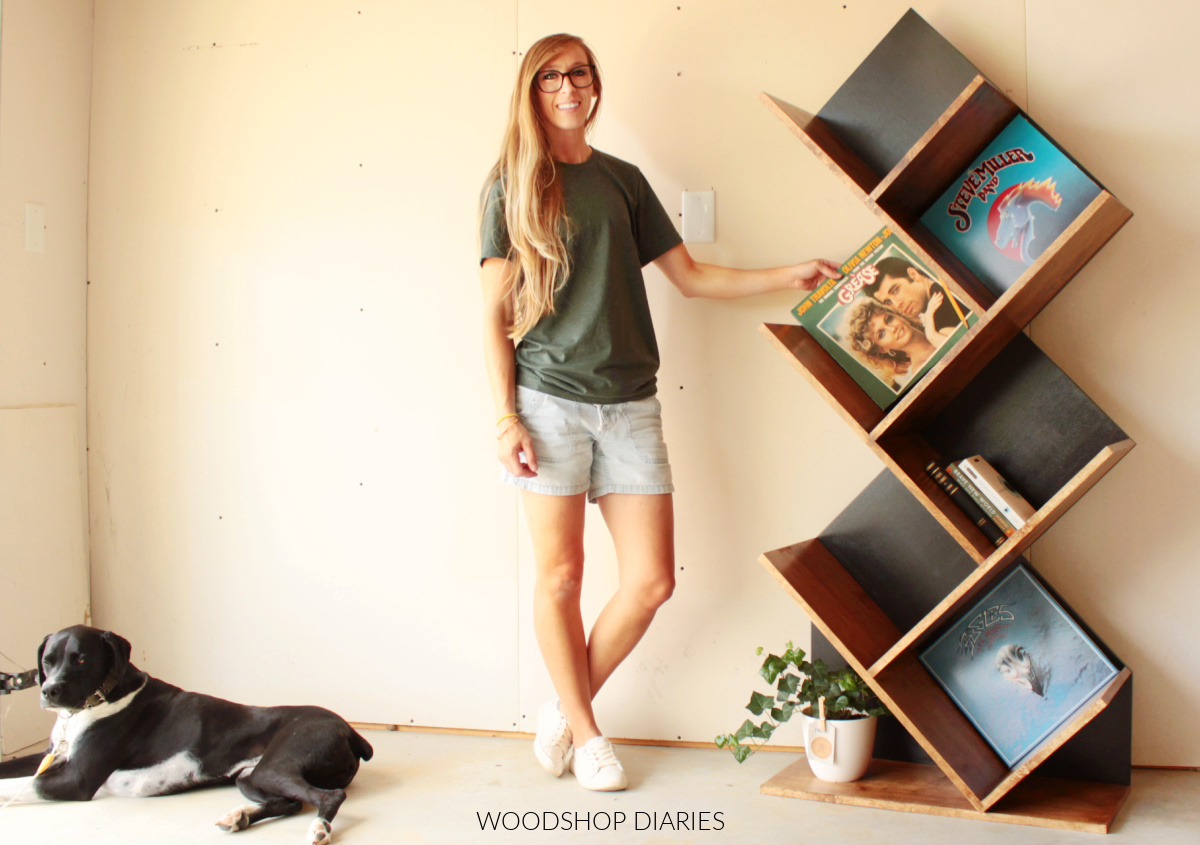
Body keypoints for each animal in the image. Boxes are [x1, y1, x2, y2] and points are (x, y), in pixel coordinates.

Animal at [0, 624, 372, 840]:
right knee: (290, 803)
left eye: (80, 659)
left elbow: (15, 786)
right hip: (251, 776)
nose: (49, 691)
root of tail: (349, 731)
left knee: (328, 797)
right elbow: (9, 770)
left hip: (275, 765)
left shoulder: (75, 778)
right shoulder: (49, 756)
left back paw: (318, 828)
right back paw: (239, 818)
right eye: (47, 661)